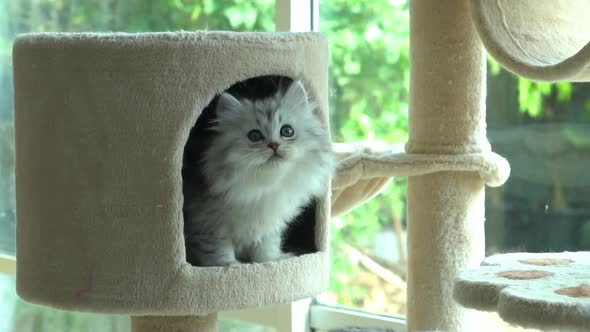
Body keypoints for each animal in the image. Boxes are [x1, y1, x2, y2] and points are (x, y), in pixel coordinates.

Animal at [183, 80, 336, 268]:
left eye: (287, 131)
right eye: (254, 136)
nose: (274, 145)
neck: (265, 186)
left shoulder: (268, 228)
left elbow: (265, 248)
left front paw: (270, 261)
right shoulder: (208, 227)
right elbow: (218, 251)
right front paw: (231, 265)